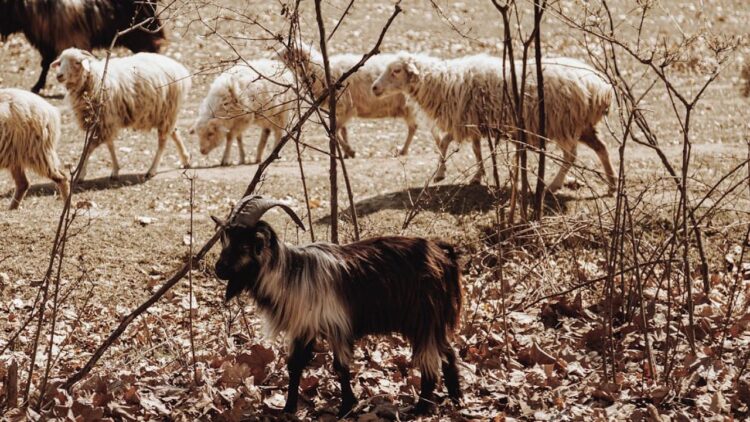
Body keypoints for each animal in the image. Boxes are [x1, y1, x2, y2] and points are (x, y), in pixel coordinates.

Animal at [0, 0, 164, 93]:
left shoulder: (70, 39)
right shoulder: (49, 42)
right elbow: (46, 64)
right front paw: (37, 86)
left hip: (140, 33)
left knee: (152, 48)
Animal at [51, 47, 192, 180]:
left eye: (76, 62)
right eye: (60, 62)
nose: (59, 76)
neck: (95, 78)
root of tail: (180, 69)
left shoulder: (104, 120)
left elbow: (88, 148)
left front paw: (80, 174)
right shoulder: (105, 121)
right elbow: (110, 145)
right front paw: (115, 170)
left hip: (167, 110)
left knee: (162, 142)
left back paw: (152, 170)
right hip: (164, 113)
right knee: (174, 132)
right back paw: (185, 159)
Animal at [212, 196, 468, 418]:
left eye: (243, 245)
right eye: (225, 240)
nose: (218, 269)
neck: (290, 273)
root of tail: (441, 253)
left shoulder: (337, 326)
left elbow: (340, 367)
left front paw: (346, 407)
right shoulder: (304, 328)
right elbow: (295, 366)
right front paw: (288, 408)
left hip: (424, 319)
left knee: (430, 361)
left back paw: (421, 408)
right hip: (433, 321)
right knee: (448, 353)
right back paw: (457, 399)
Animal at [280, 43, 440, 158]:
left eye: (288, 54)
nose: (275, 59)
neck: (319, 72)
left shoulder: (347, 107)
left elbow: (335, 131)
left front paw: (349, 151)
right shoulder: (339, 110)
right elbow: (342, 131)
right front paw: (347, 152)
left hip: (412, 107)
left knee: (416, 127)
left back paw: (407, 150)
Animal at [374, 52, 616, 191]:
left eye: (396, 70)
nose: (374, 88)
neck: (443, 82)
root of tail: (600, 87)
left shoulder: (463, 120)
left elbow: (444, 142)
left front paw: (441, 173)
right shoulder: (473, 123)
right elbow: (475, 149)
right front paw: (477, 175)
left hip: (564, 123)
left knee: (571, 156)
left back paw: (553, 185)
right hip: (582, 124)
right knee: (602, 148)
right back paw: (613, 183)